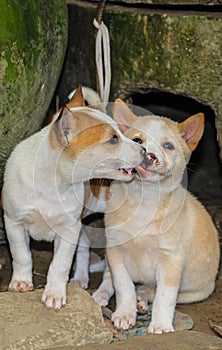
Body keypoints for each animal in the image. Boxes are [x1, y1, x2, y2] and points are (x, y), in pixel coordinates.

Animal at [2, 88, 147, 308]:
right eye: (113, 139)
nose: (145, 150)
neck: (54, 184)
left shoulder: (68, 230)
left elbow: (59, 264)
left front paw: (54, 293)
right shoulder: (14, 223)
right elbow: (21, 255)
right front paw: (21, 281)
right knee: (85, 244)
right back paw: (80, 277)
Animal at [94, 98, 219, 334]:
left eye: (168, 146)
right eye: (137, 141)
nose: (148, 156)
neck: (143, 202)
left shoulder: (170, 262)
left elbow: (164, 297)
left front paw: (160, 324)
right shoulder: (116, 253)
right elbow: (123, 286)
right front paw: (125, 313)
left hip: (195, 291)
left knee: (150, 289)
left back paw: (143, 300)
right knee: (109, 278)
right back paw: (102, 295)